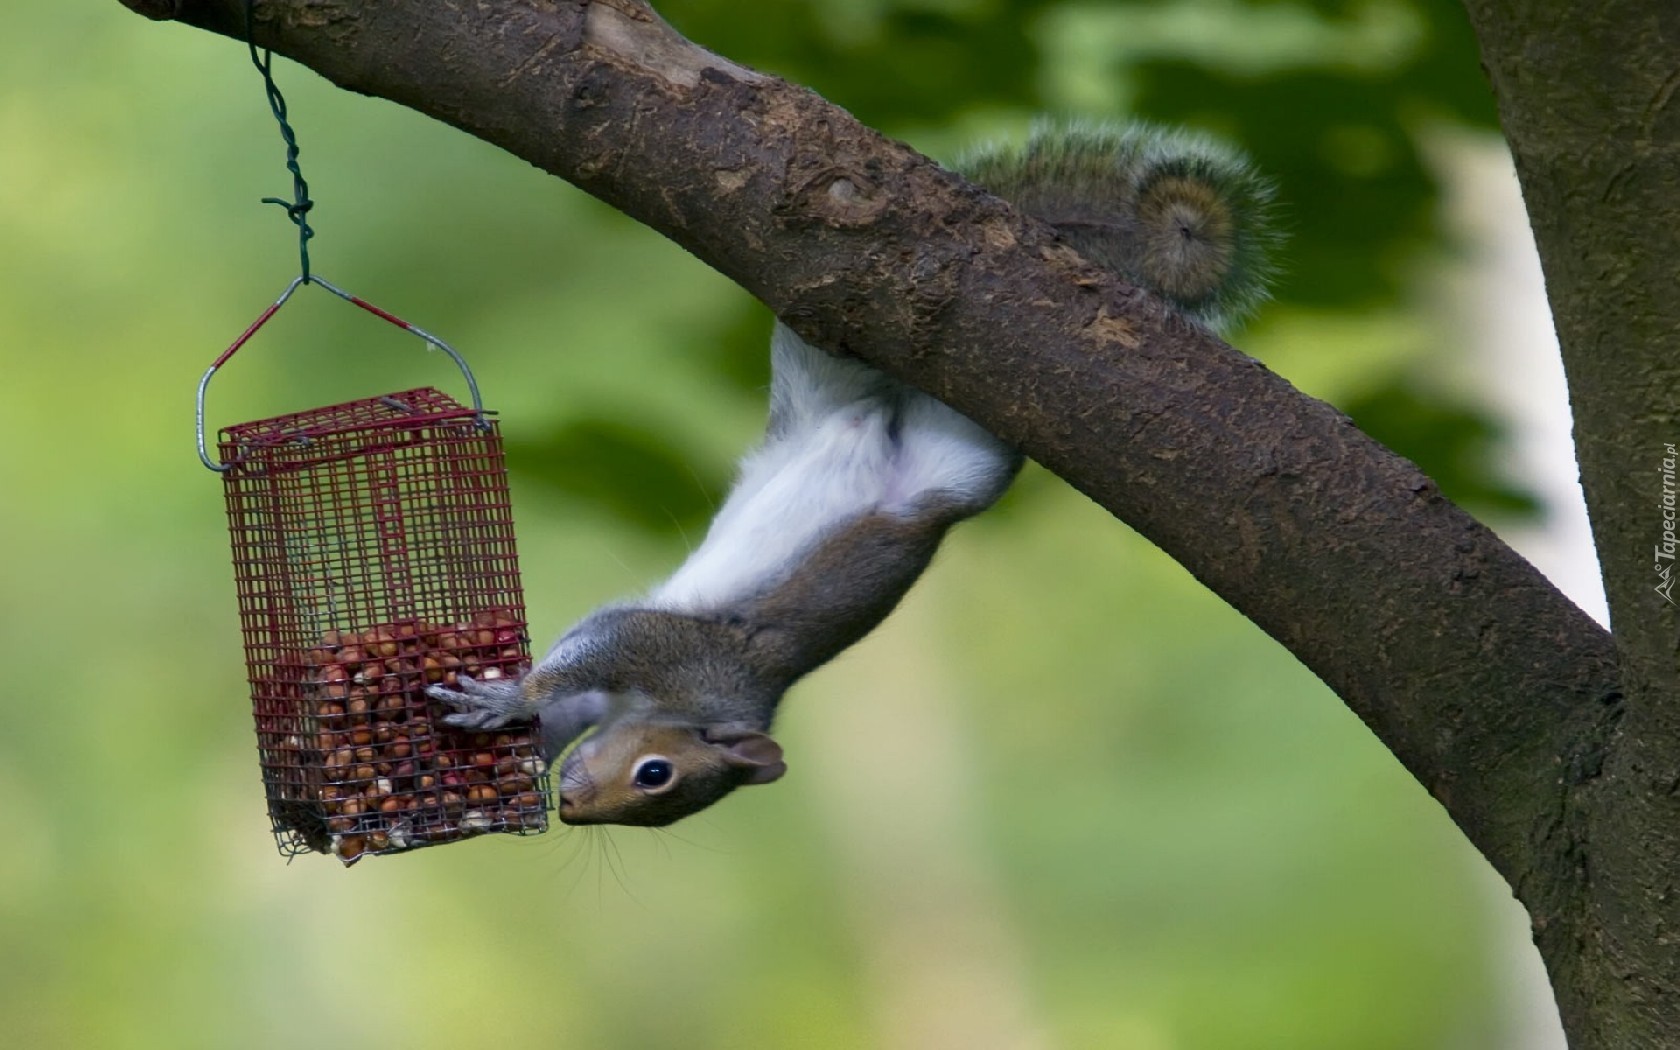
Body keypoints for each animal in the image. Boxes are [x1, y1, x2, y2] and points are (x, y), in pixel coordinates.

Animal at [430, 122, 1270, 823]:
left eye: (656, 785)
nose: (573, 809)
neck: (708, 708)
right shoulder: (671, 653)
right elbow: (588, 658)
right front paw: (510, 710)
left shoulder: (659, 669)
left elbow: (577, 683)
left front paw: (505, 725)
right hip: (853, 347)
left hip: (947, 449)